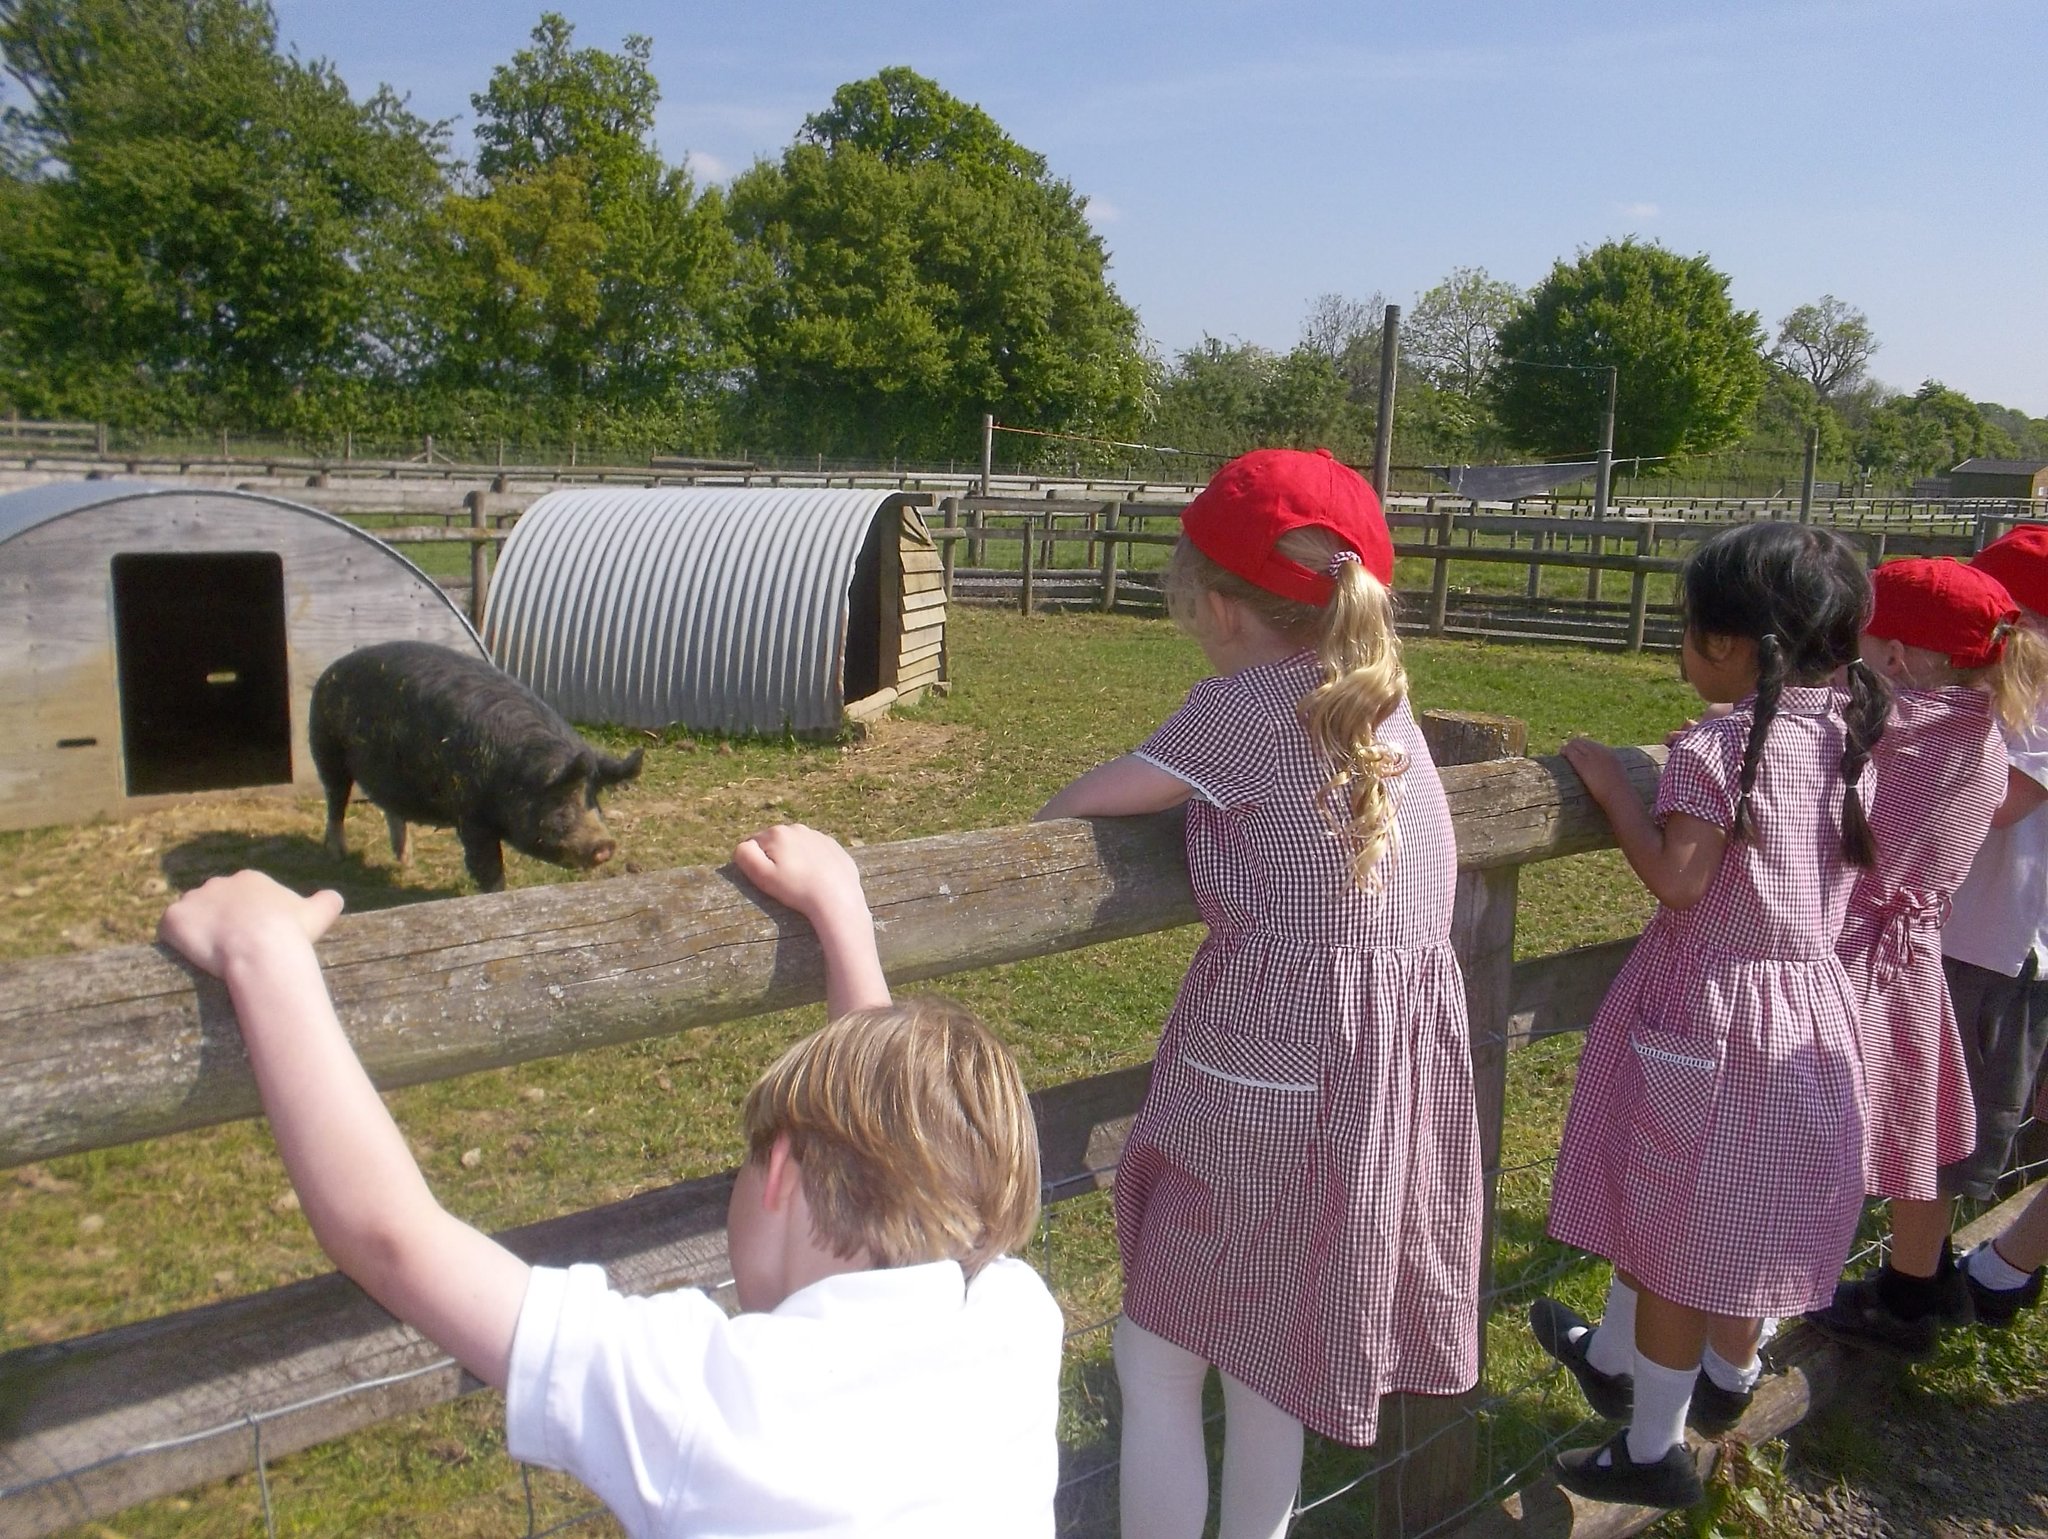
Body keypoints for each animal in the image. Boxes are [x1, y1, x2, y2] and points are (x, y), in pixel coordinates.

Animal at [307, 643, 643, 897]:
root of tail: (333, 668)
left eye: (594, 799)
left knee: (391, 809)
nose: (606, 845)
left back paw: (407, 862)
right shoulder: (470, 815)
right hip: (326, 746)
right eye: (560, 800)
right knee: (336, 800)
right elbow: (488, 867)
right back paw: (337, 855)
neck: (515, 775)